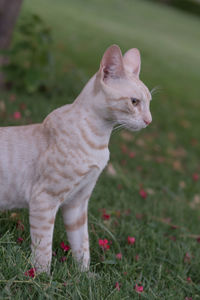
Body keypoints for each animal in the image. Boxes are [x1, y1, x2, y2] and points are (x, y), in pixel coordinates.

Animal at [0, 45, 152, 274]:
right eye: (134, 102)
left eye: (150, 103)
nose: (149, 121)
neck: (99, 140)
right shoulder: (44, 200)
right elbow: (43, 249)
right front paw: (41, 277)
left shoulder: (78, 203)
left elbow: (82, 245)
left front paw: (85, 275)